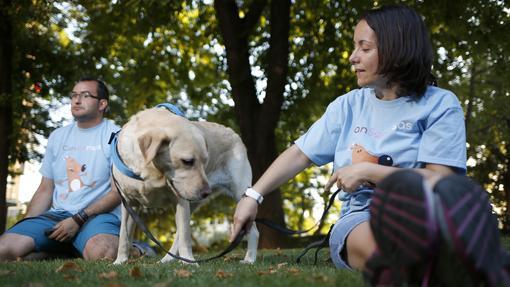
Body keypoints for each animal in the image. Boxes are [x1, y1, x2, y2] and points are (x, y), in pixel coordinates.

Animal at [110, 107, 256, 266]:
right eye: (187, 161)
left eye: (205, 161)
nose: (207, 192)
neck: (150, 173)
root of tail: (233, 132)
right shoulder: (129, 203)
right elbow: (124, 236)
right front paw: (120, 261)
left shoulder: (180, 201)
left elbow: (186, 237)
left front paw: (189, 262)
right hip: (193, 203)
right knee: (178, 235)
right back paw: (167, 259)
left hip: (241, 194)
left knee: (254, 231)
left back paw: (249, 259)